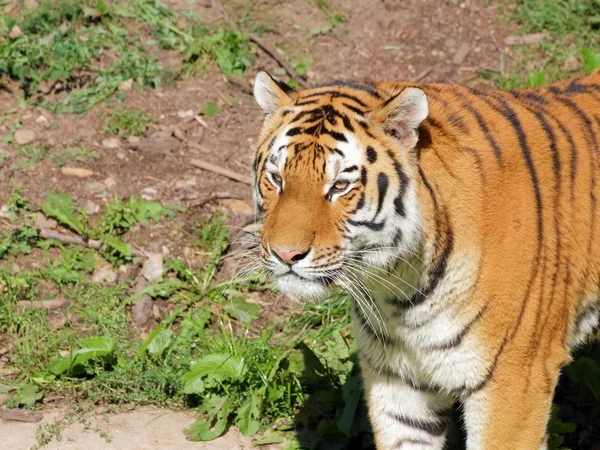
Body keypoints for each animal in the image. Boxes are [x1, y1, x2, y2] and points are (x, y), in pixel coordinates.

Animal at [248, 70, 600, 450]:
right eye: (276, 178)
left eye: (340, 186)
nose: (285, 254)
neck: (397, 289)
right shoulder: (398, 380)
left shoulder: (514, 382)